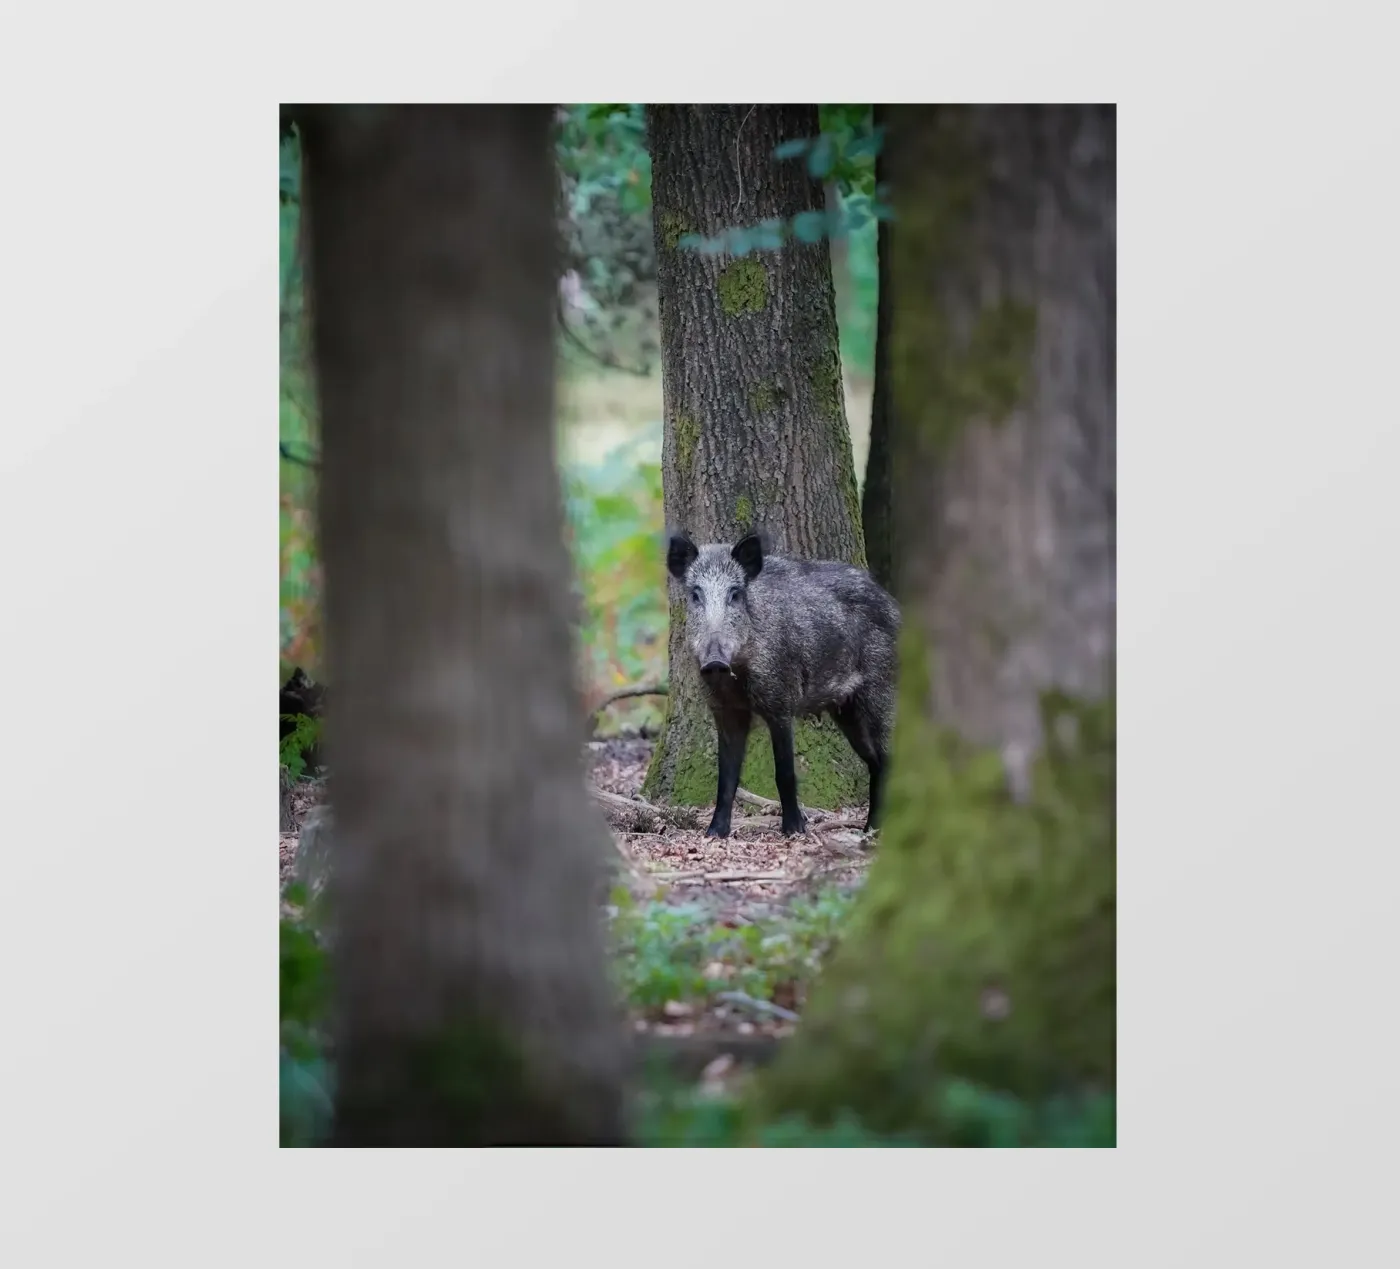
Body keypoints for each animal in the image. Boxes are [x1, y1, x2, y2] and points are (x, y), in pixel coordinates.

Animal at [666, 529, 901, 839]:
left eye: (735, 594)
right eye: (695, 594)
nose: (715, 661)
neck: (739, 675)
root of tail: (894, 606)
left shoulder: (780, 701)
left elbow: (785, 772)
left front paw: (795, 830)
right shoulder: (725, 712)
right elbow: (726, 777)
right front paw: (714, 833)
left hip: (880, 690)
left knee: (887, 758)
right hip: (846, 710)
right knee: (874, 762)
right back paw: (868, 830)